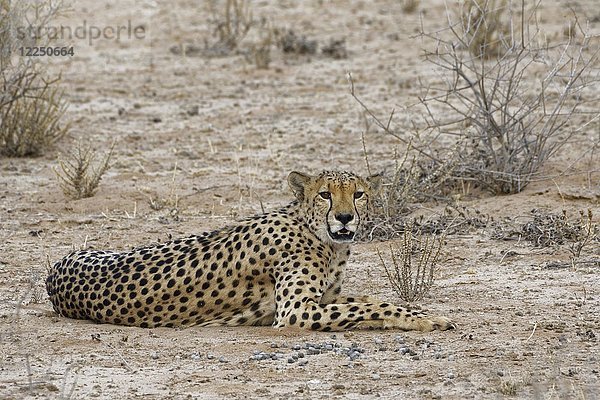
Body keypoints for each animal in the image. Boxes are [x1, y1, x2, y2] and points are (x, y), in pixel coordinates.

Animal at [47, 171, 454, 332]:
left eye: (358, 194)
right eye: (325, 194)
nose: (344, 218)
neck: (321, 237)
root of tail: (56, 268)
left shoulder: (323, 297)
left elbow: (369, 298)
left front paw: (420, 311)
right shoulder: (296, 312)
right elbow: (371, 307)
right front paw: (426, 319)